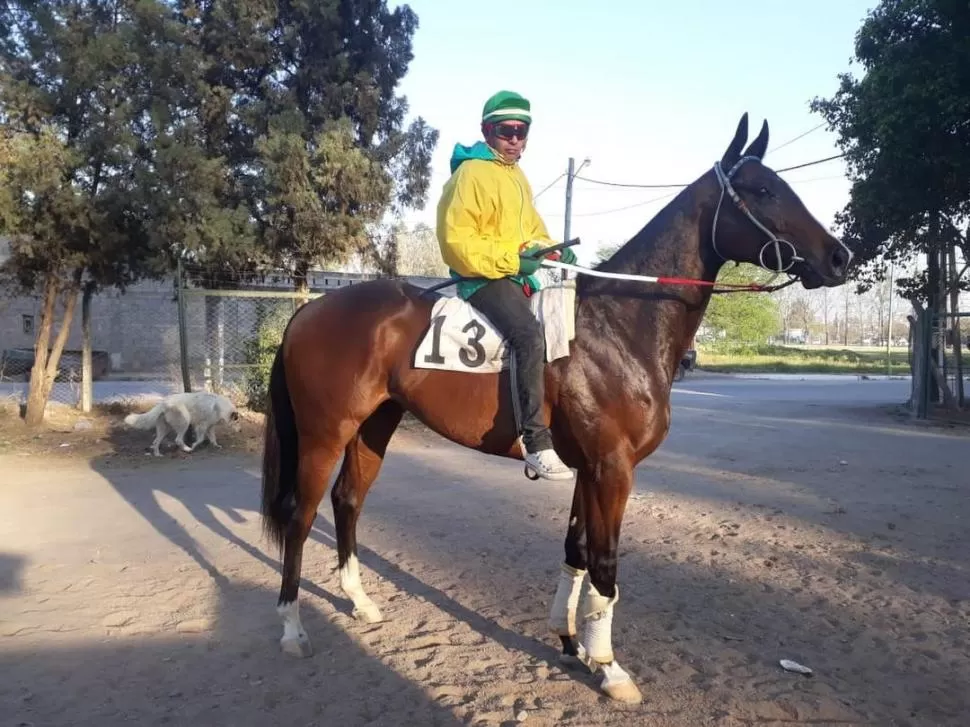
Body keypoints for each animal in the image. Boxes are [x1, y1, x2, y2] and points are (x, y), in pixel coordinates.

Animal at [255, 114, 848, 704]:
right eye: (764, 190)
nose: (839, 257)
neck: (619, 323)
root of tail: (310, 310)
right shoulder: (613, 468)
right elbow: (605, 563)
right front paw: (609, 667)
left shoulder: (588, 468)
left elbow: (576, 550)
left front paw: (573, 642)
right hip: (325, 433)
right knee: (301, 516)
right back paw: (291, 627)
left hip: (374, 425)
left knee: (347, 501)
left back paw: (359, 602)